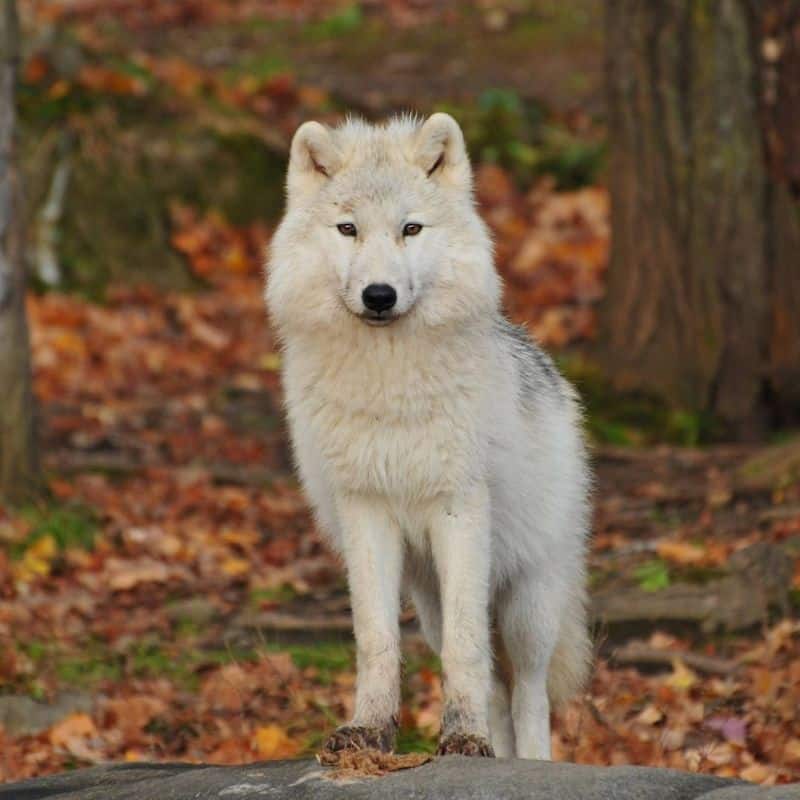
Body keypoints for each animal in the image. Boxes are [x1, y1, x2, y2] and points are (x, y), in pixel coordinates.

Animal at [266, 114, 592, 764]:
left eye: (410, 229)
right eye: (348, 229)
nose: (379, 295)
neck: (389, 386)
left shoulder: (458, 507)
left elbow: (469, 651)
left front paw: (462, 738)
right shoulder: (365, 509)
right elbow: (376, 640)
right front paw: (370, 731)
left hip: (528, 602)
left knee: (529, 690)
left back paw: (528, 762)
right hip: (430, 600)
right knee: (494, 686)